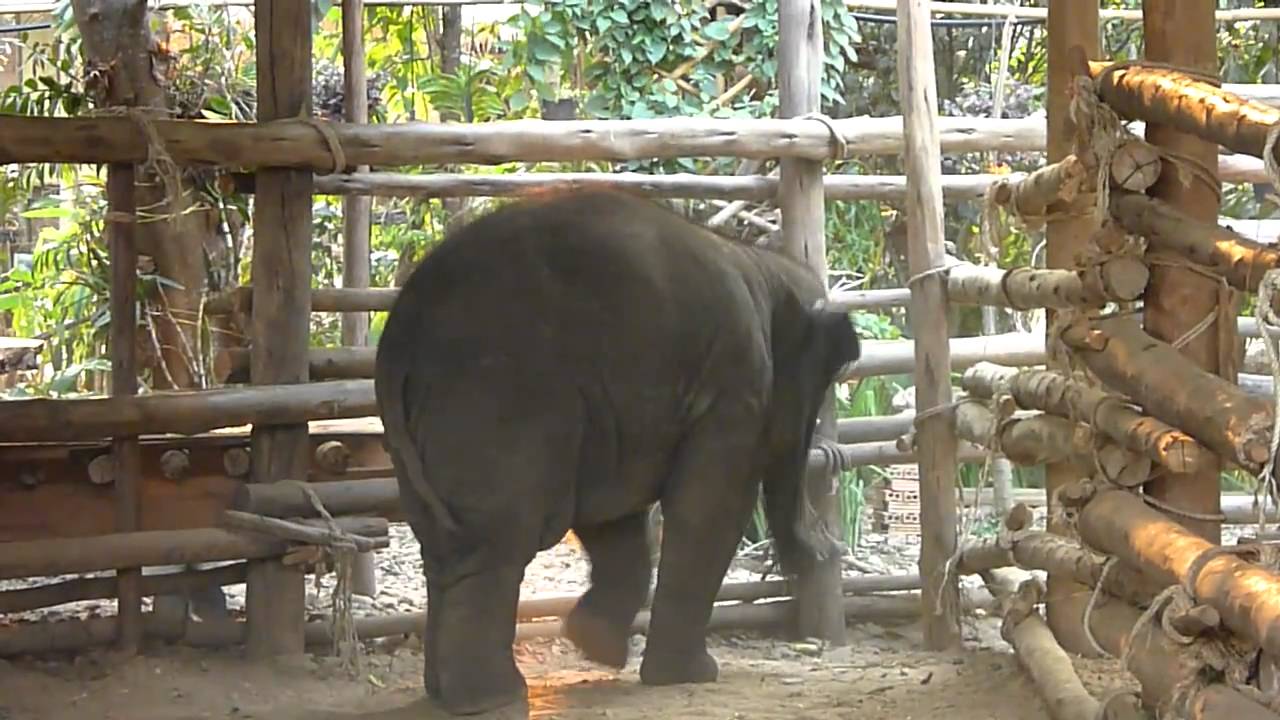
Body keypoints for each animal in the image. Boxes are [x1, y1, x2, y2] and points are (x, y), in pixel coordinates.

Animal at [374, 189, 861, 716]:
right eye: (824, 382)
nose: (831, 546)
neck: (760, 265)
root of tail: (402, 332)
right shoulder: (737, 383)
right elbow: (710, 508)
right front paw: (689, 674)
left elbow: (612, 514)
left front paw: (595, 645)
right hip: (497, 402)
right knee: (494, 541)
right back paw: (492, 698)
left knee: (445, 544)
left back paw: (446, 694)